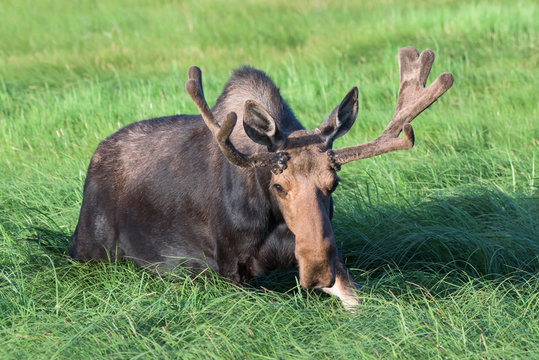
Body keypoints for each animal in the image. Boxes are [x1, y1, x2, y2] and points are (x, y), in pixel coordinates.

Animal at [69, 46, 454, 308]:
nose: (317, 269)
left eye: (333, 184)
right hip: (89, 251)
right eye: (279, 185)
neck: (273, 221)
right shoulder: (227, 267)